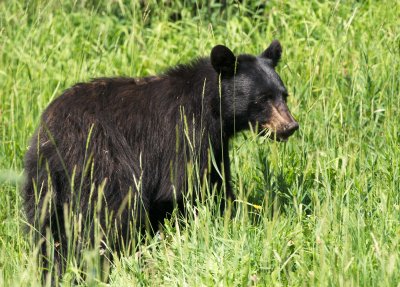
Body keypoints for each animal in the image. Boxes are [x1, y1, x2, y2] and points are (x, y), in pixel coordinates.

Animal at [21, 40, 296, 272]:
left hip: (42, 183)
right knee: (110, 214)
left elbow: (216, 184)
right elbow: (179, 188)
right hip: (104, 163)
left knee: (46, 232)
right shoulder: (184, 133)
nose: (290, 126)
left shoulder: (215, 144)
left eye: (284, 94)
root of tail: (54, 140)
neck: (210, 106)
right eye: (262, 98)